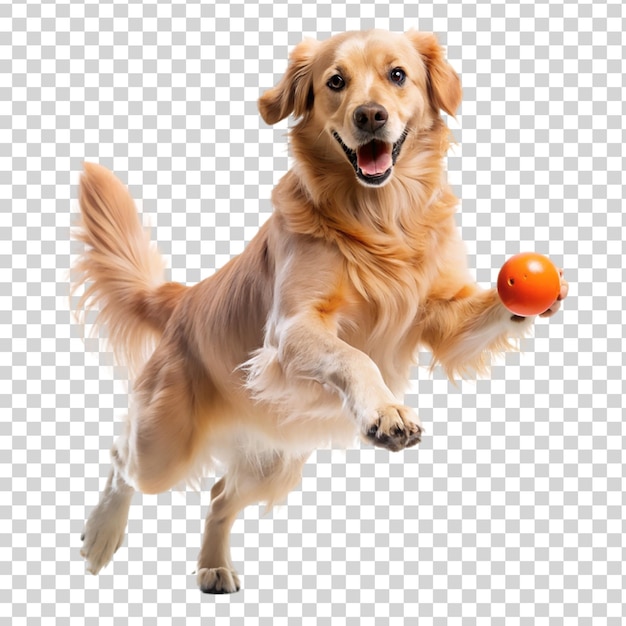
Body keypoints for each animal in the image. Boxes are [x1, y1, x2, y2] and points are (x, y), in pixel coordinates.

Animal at [72, 29, 564, 592]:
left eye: (398, 75)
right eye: (336, 82)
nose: (370, 115)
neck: (379, 220)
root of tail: (185, 297)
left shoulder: (441, 319)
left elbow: (473, 312)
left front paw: (535, 291)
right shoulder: (293, 328)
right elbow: (356, 357)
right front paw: (386, 412)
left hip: (275, 455)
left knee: (219, 496)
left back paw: (213, 565)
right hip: (165, 443)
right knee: (121, 461)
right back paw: (101, 535)